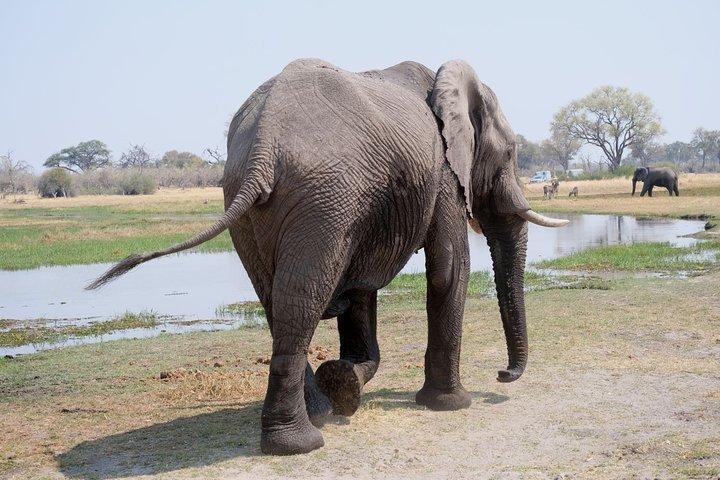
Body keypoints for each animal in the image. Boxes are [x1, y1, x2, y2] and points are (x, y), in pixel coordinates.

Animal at [87, 59, 569, 455]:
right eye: (511, 154)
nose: (503, 375)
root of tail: (263, 144)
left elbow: (360, 292)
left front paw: (347, 381)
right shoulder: (444, 174)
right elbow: (448, 271)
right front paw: (450, 404)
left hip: (265, 198)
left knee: (281, 303)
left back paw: (316, 414)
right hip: (323, 198)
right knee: (303, 298)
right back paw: (301, 443)